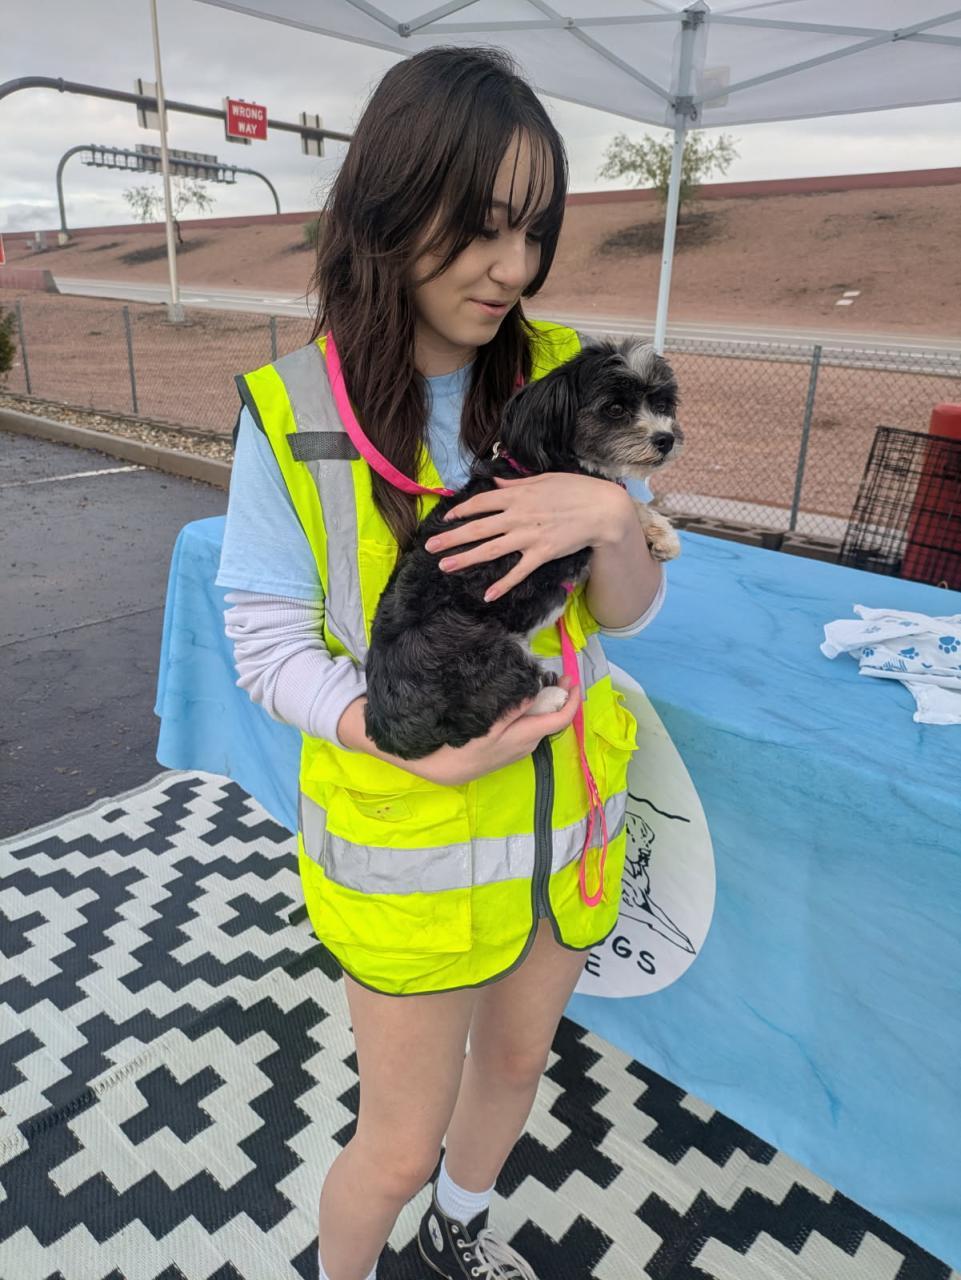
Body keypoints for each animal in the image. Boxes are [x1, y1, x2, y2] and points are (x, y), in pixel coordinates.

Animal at [363, 338, 683, 759]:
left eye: (662, 404)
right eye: (615, 408)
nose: (666, 439)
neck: (550, 461)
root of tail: (388, 731)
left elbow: (622, 499)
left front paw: (659, 534)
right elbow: (623, 498)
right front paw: (661, 530)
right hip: (465, 643)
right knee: (497, 698)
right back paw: (549, 696)